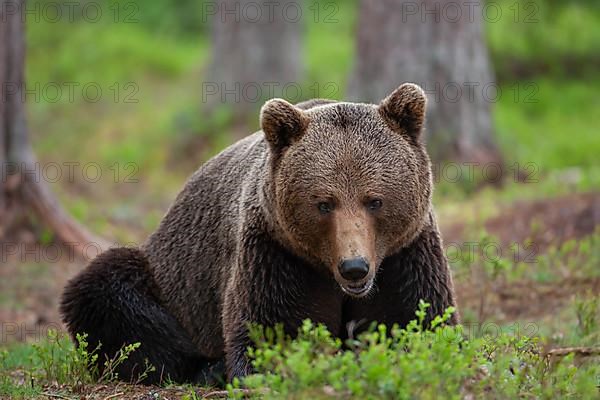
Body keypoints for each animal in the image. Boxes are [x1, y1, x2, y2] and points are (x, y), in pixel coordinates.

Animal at [61, 83, 458, 384]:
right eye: (324, 203)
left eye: (374, 200)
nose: (354, 267)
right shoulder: (274, 253)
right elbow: (269, 330)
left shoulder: (404, 254)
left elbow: (418, 322)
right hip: (168, 280)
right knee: (107, 288)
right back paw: (206, 367)